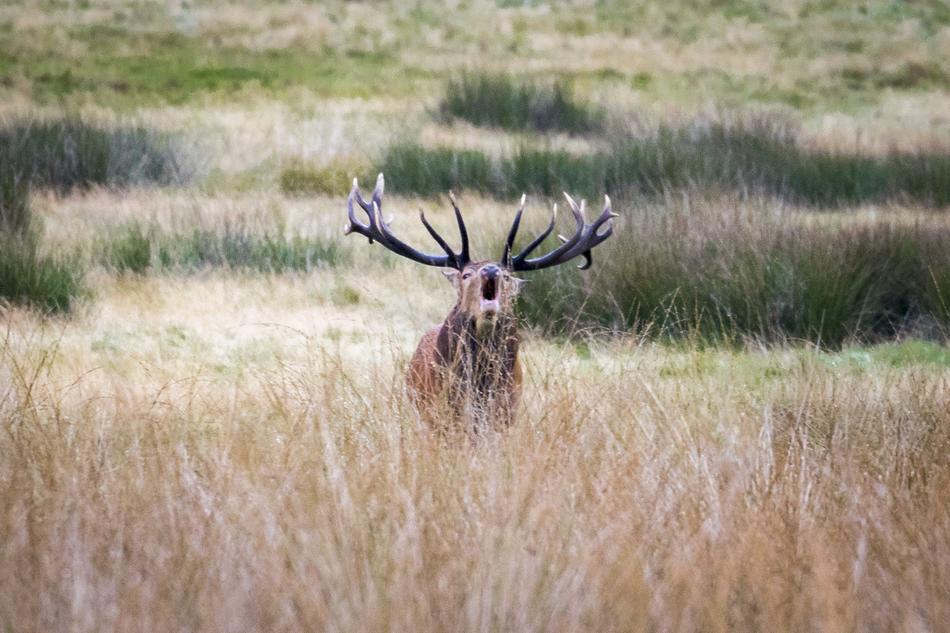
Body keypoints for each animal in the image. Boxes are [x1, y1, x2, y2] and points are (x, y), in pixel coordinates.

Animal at [344, 173, 617, 433]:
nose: (491, 270)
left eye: (506, 276)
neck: (479, 385)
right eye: (466, 274)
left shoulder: (505, 413)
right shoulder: (440, 412)